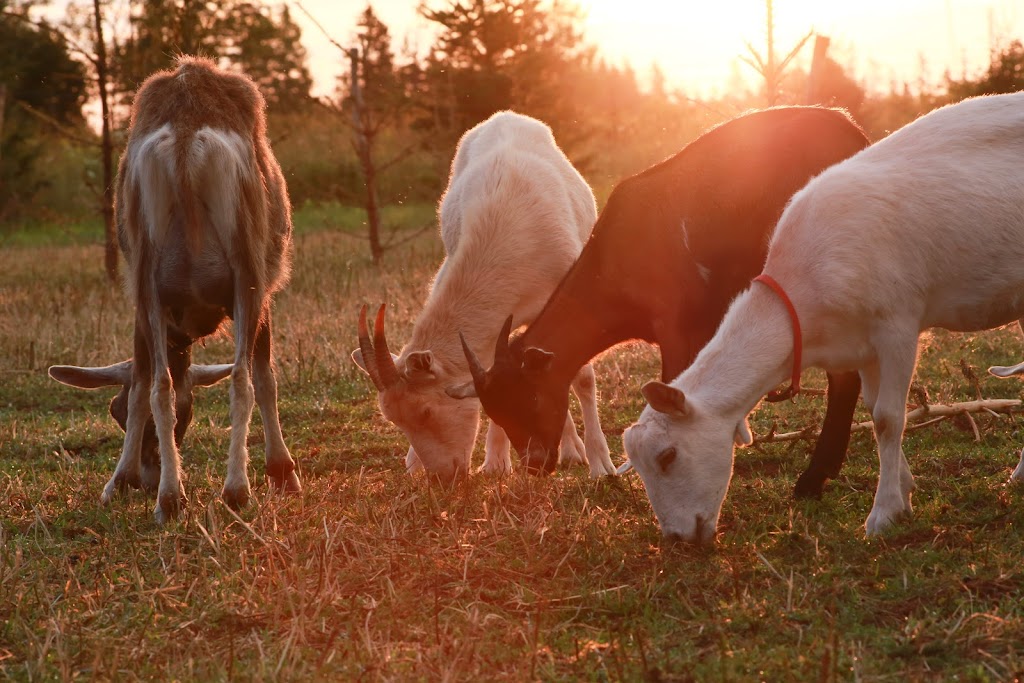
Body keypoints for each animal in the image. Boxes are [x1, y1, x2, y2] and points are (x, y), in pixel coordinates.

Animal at [49, 56, 299, 524]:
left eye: (112, 411)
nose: (146, 478)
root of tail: (185, 140)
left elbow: (142, 382)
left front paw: (119, 479)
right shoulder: (266, 291)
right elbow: (266, 376)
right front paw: (282, 471)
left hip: (144, 271)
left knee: (159, 382)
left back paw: (170, 496)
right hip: (248, 268)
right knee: (241, 377)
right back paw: (233, 489)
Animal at [350, 111, 614, 481]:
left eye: (426, 411)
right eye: (395, 420)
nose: (443, 478)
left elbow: (582, 375)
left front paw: (600, 463)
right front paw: (495, 463)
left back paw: (574, 451)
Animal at [460, 107, 868, 481]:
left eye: (531, 397)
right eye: (496, 412)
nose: (536, 463)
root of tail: (852, 132)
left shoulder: (674, 324)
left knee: (845, 377)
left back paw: (816, 475)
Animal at [618, 90, 1024, 540]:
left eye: (668, 456)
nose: (677, 538)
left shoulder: (897, 326)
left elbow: (887, 418)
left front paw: (883, 513)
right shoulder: (860, 345)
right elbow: (872, 409)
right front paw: (904, 491)